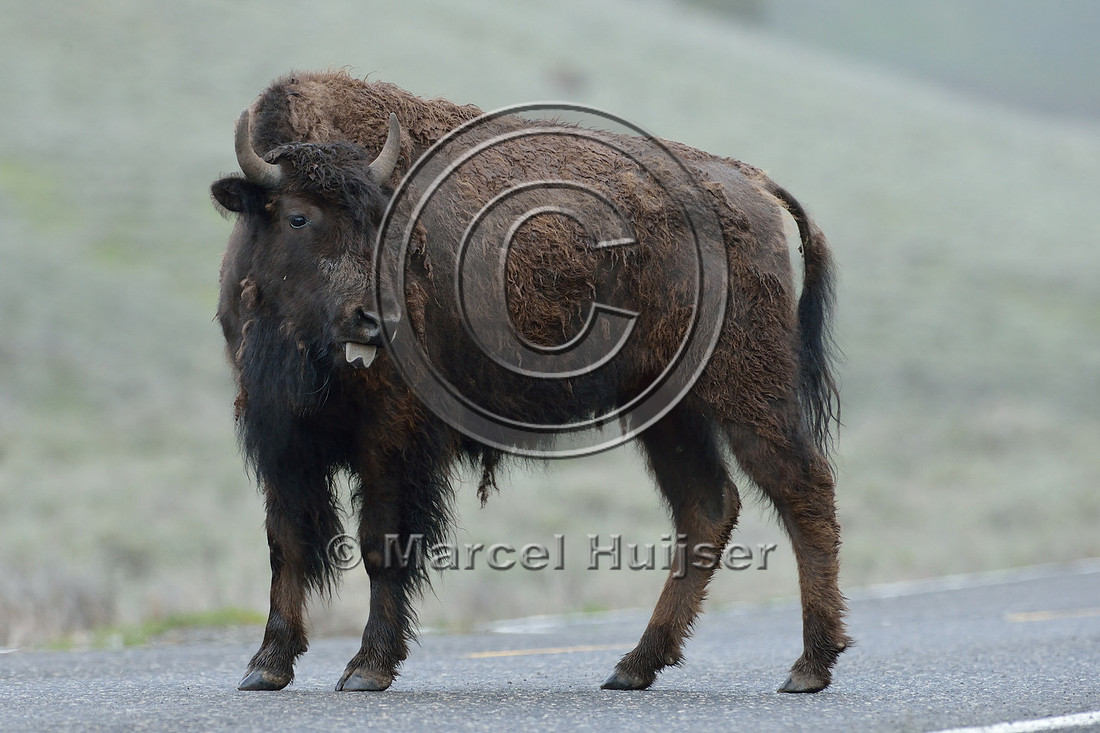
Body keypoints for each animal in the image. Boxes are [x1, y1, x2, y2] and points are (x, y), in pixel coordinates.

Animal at [211, 71, 849, 693]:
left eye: (378, 223)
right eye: (297, 215)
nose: (373, 317)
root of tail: (753, 183)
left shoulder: (391, 437)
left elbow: (381, 541)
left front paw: (367, 666)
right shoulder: (279, 434)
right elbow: (286, 541)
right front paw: (266, 666)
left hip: (749, 392)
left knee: (803, 489)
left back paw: (809, 666)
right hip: (670, 413)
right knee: (708, 507)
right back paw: (635, 665)